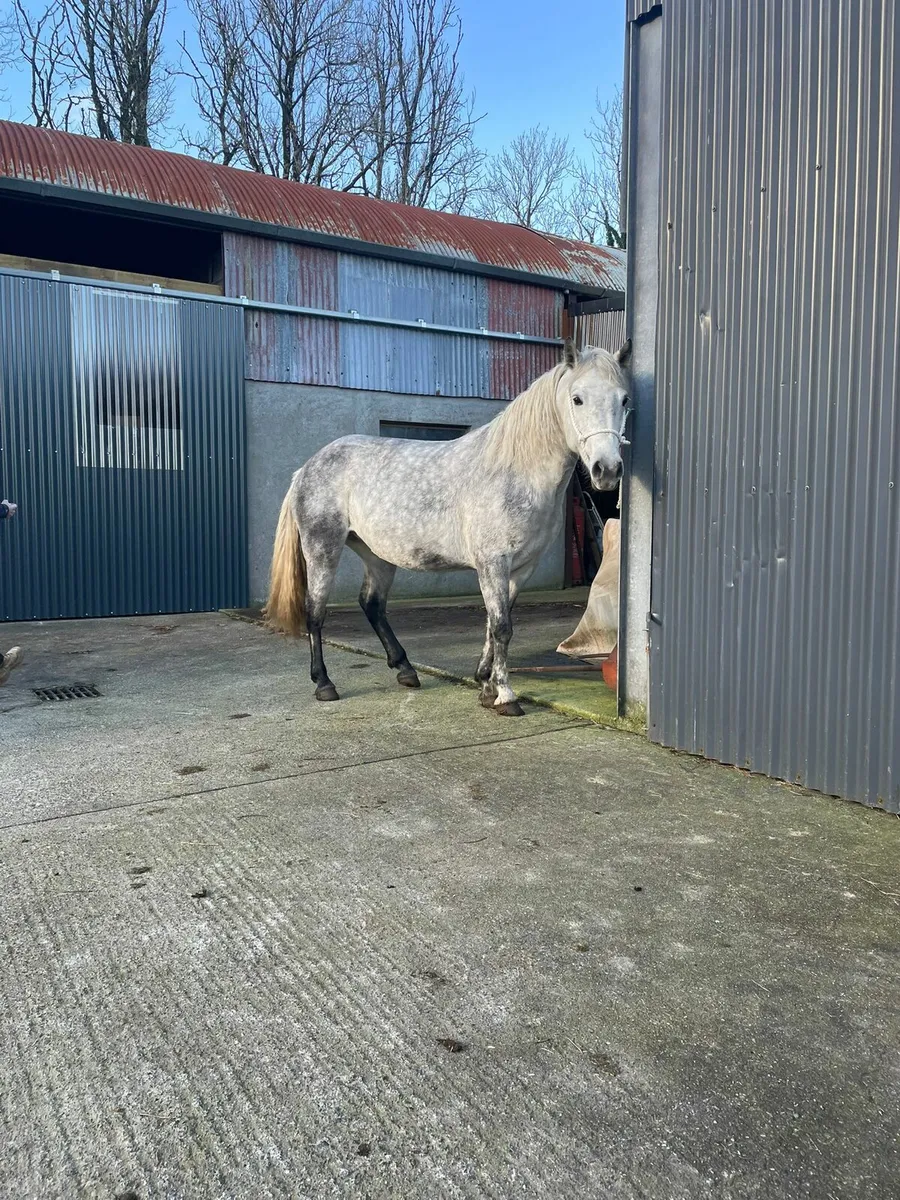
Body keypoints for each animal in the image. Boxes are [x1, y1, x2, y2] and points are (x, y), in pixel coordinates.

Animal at [266, 338, 632, 715]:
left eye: (624, 400)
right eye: (577, 398)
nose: (607, 470)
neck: (515, 471)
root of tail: (306, 467)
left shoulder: (520, 569)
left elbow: (493, 625)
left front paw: (485, 684)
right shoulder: (492, 563)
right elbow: (502, 628)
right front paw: (505, 696)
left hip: (376, 555)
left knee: (372, 604)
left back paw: (405, 670)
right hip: (322, 548)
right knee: (315, 611)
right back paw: (324, 683)